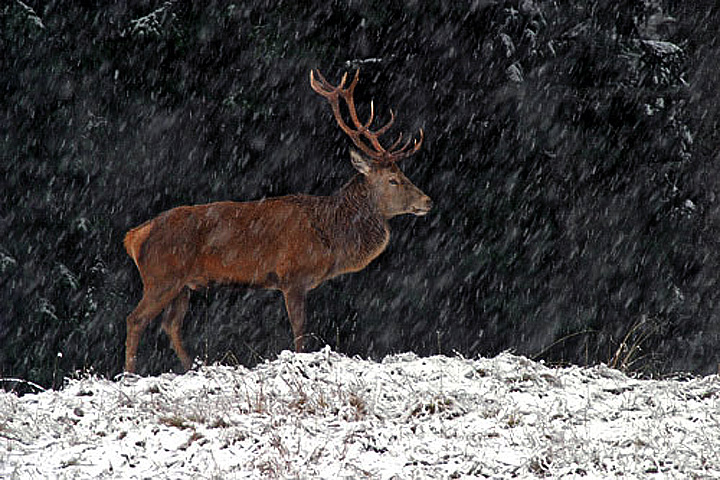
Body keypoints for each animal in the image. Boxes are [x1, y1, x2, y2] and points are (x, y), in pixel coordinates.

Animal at [122, 69, 434, 374]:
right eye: (393, 179)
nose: (428, 201)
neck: (330, 237)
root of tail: (135, 235)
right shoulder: (293, 275)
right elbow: (300, 329)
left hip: (183, 285)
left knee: (171, 325)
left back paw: (194, 367)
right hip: (161, 276)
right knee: (136, 319)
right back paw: (130, 373)